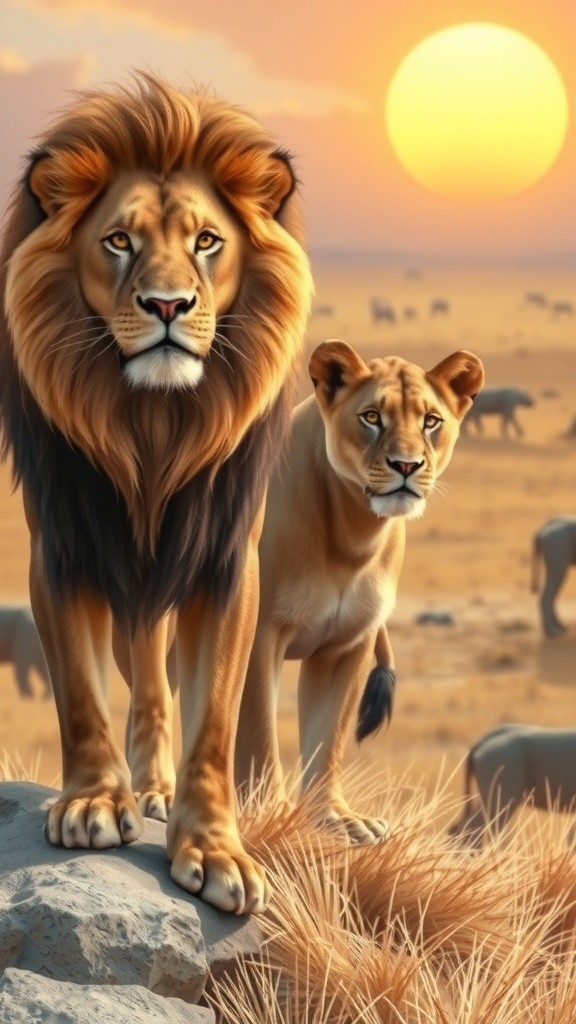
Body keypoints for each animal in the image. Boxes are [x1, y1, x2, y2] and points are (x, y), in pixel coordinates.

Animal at [0, 73, 313, 915]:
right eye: (119, 241)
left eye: (207, 241)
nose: (168, 306)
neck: (152, 426)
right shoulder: (64, 547)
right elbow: (79, 690)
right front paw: (91, 803)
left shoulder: (227, 563)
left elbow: (213, 721)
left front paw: (213, 848)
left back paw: (158, 789)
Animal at [235, 340, 484, 841]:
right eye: (372, 417)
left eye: (431, 421)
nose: (406, 466)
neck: (352, 533)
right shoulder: (261, 632)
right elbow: (257, 731)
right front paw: (265, 813)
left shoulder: (347, 643)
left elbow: (327, 735)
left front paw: (332, 818)